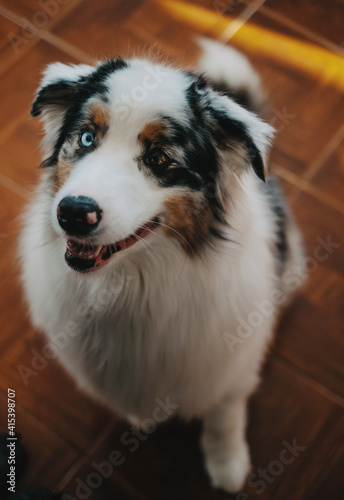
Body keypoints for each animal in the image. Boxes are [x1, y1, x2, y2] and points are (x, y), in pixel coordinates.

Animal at [20, 38, 304, 492]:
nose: (73, 213)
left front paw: (227, 464)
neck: (135, 282)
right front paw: (142, 416)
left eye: (159, 159)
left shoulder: (233, 366)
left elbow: (224, 415)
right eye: (86, 137)